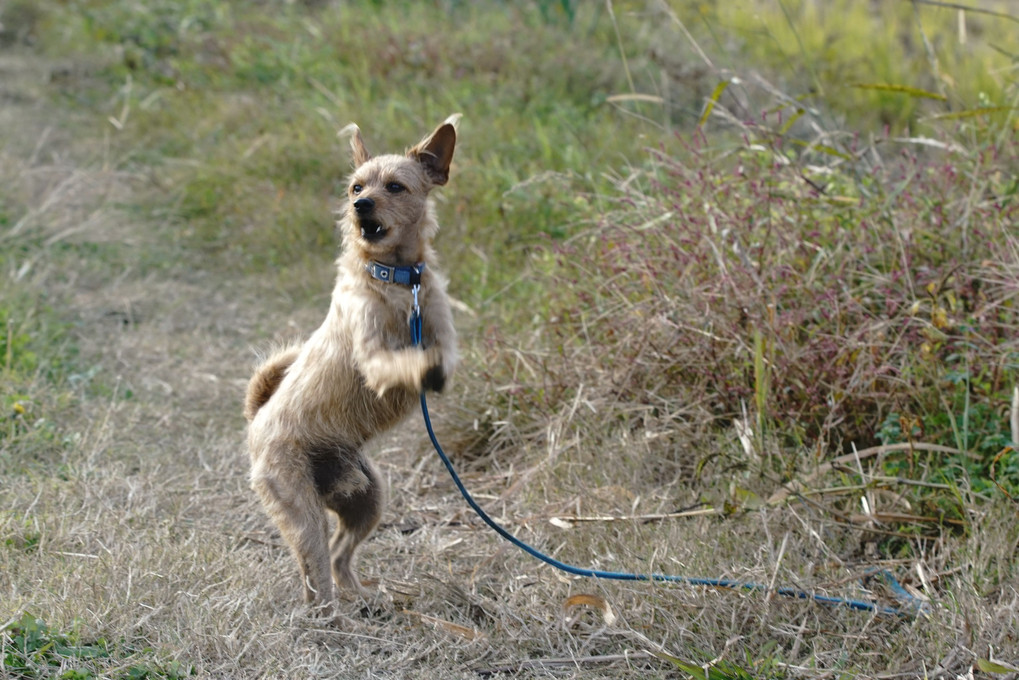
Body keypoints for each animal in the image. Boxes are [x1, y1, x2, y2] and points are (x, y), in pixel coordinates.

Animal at [242, 115, 458, 607]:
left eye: (395, 186)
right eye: (356, 187)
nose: (361, 205)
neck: (397, 282)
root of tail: (256, 420)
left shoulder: (442, 331)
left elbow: (442, 352)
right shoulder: (374, 356)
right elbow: (401, 362)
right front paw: (422, 369)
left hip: (369, 500)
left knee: (342, 556)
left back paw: (365, 598)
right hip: (303, 516)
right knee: (317, 579)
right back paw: (331, 617)